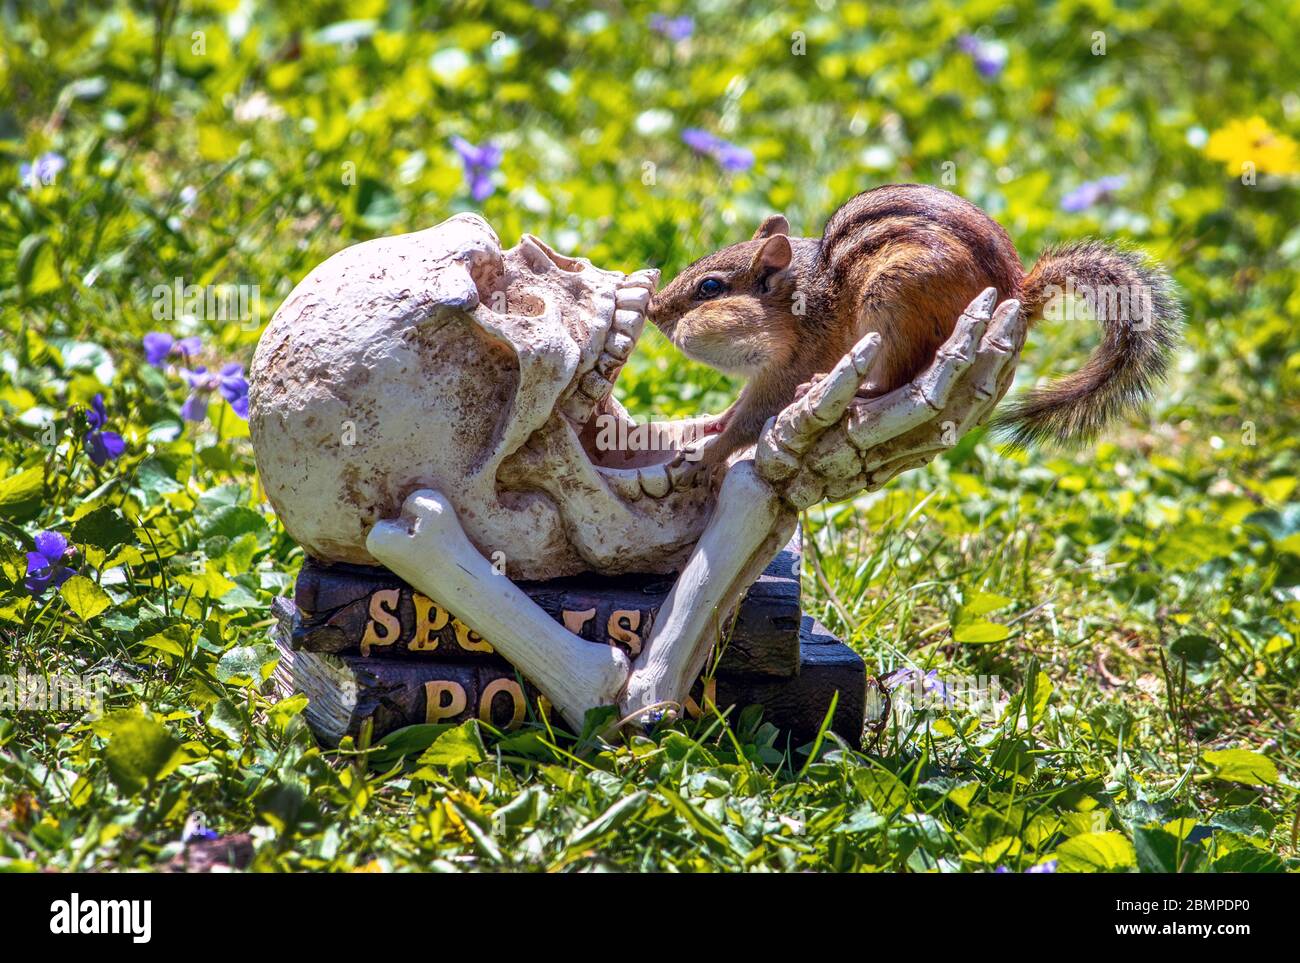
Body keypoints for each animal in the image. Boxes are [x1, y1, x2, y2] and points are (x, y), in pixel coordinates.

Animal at [647, 183, 1180, 469]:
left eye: (710, 288)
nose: (653, 310)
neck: (798, 304)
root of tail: (1017, 291)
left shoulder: (794, 362)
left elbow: (756, 417)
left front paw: (707, 452)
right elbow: (741, 406)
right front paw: (716, 420)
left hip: (894, 303)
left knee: (901, 375)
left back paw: (858, 396)